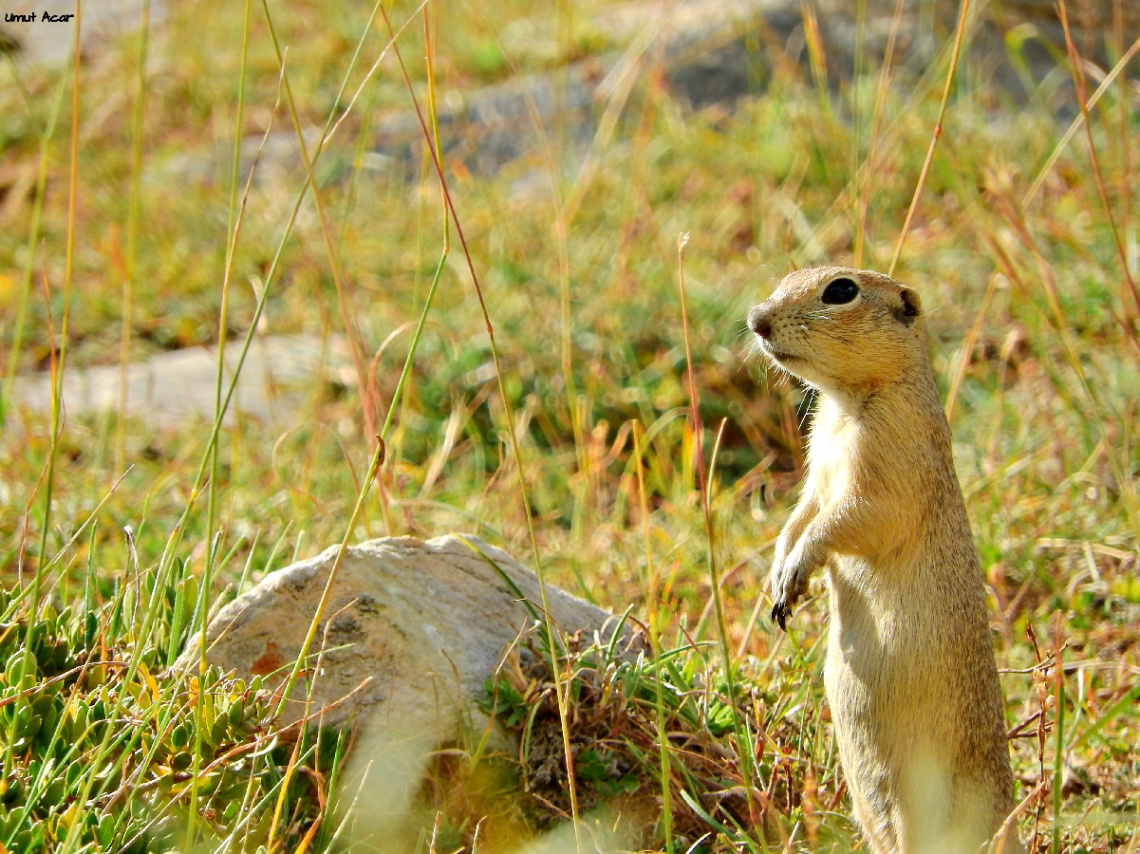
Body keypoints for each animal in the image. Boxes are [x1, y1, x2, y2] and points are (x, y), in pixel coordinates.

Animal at [747, 266, 1026, 852]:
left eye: (841, 290)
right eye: (786, 276)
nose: (756, 319)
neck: (845, 404)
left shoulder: (889, 462)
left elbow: (852, 519)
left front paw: (797, 571)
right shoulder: (817, 468)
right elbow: (801, 514)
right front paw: (779, 575)